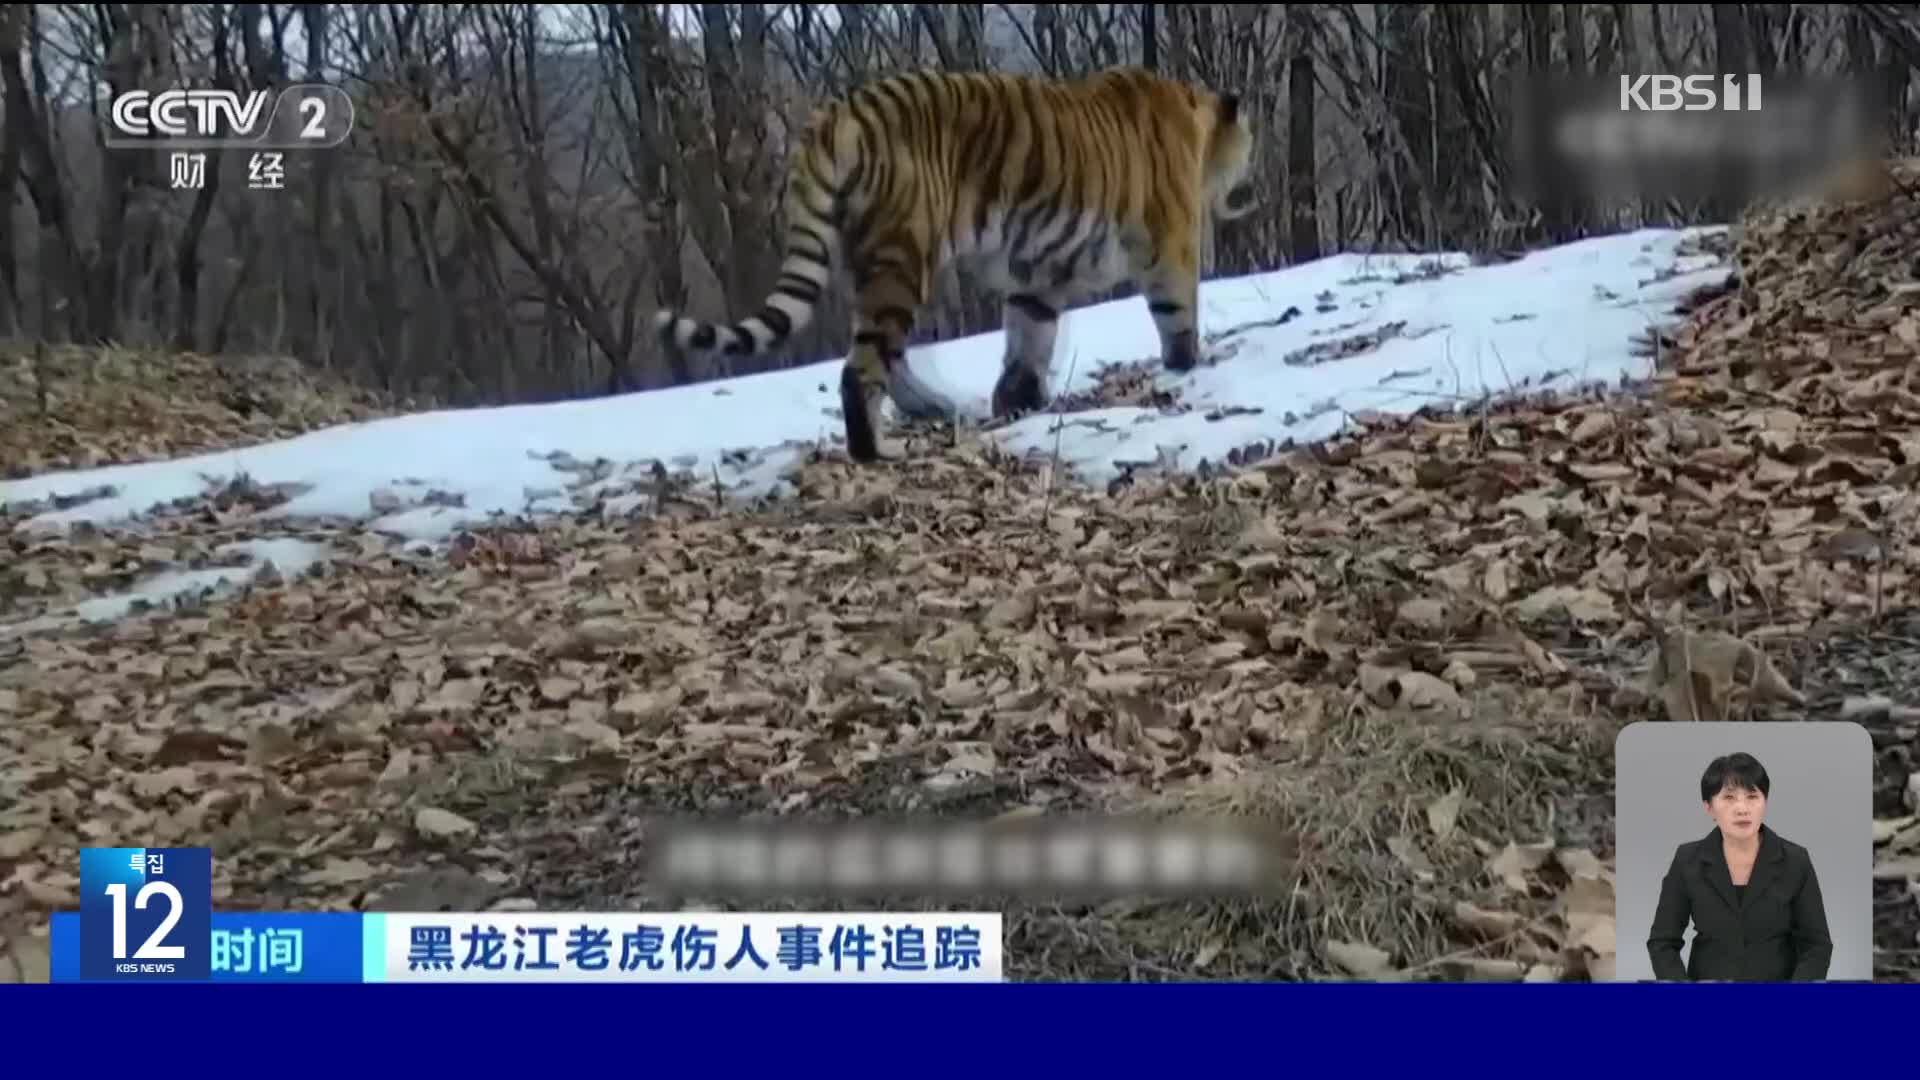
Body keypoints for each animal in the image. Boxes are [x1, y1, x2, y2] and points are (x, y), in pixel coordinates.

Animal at [660, 66, 1259, 463]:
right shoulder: (1172, 245)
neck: (1197, 124)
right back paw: (877, 450)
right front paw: (1188, 366)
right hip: (905, 256)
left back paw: (934, 409)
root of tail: (839, 115)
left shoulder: (1036, 275)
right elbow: (1178, 315)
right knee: (862, 367)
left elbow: (1029, 337)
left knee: (886, 355)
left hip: (872, 262)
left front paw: (1018, 401)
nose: (1253, 184)